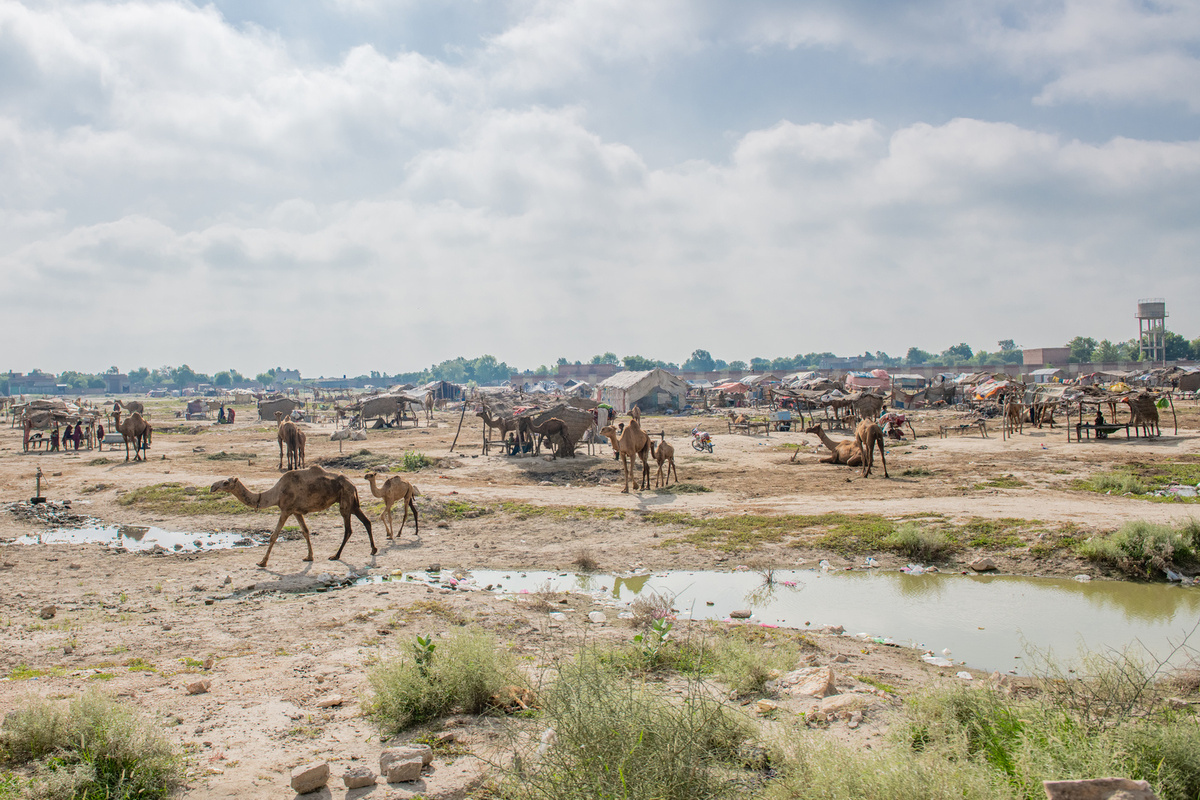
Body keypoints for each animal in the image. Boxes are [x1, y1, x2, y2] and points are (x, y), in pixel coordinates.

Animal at [208, 465, 372, 573]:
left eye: (226, 482)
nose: (212, 487)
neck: (276, 493)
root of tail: (353, 484)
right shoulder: (296, 511)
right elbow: (305, 531)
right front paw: (309, 557)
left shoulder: (286, 510)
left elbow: (274, 535)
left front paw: (262, 562)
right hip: (352, 503)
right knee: (366, 521)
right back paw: (373, 550)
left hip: (345, 499)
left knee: (348, 529)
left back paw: (335, 555)